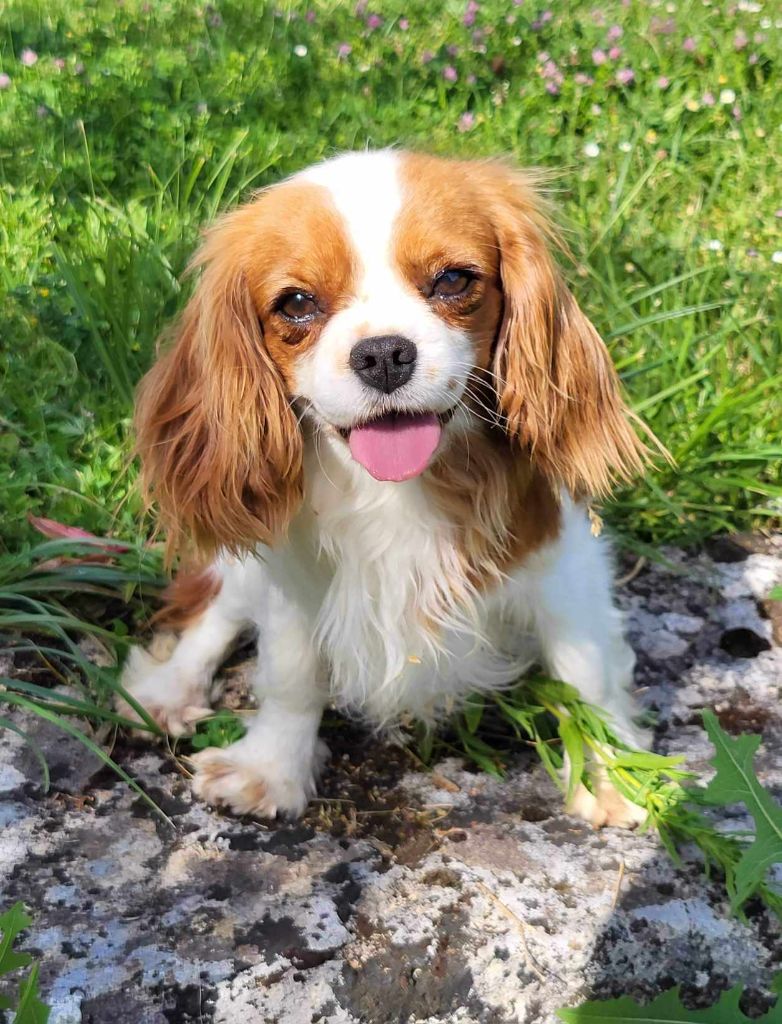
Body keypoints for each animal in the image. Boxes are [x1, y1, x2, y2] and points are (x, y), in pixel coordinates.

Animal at [119, 149, 650, 823]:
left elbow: (587, 673)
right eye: (296, 303)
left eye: (454, 281)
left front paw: (613, 775)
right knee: (218, 608)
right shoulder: (292, 580)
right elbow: (291, 675)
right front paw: (271, 768)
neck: (397, 490)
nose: (383, 354)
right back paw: (169, 689)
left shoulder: (562, 563)